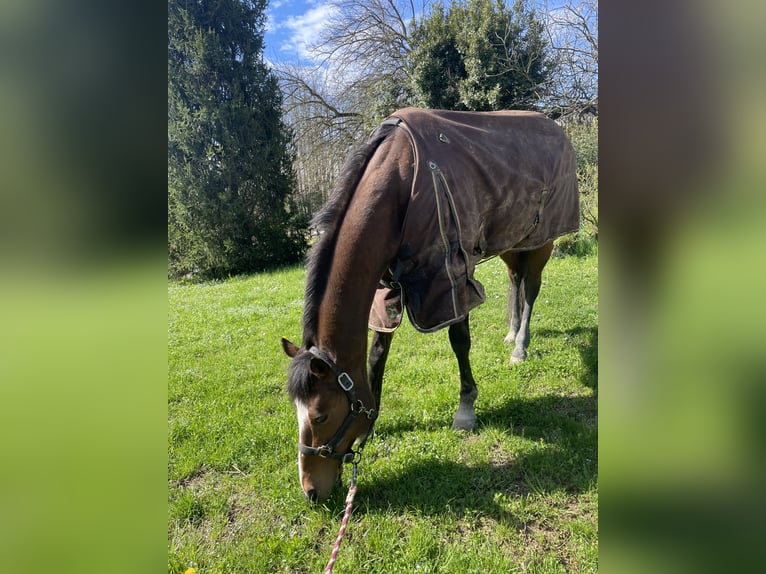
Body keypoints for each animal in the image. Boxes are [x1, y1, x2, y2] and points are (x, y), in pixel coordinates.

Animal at [281, 108, 579, 502]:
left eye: (320, 416)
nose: (311, 491)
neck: (402, 184)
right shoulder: (386, 290)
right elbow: (377, 354)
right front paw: (371, 422)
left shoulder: (450, 277)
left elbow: (459, 342)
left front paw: (465, 409)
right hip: (512, 241)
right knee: (515, 279)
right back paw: (511, 333)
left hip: (541, 241)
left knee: (530, 290)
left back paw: (520, 346)